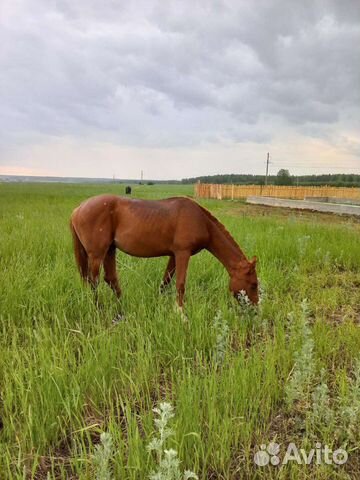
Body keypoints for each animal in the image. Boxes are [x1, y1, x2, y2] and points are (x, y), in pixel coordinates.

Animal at [69, 194, 258, 308]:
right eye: (254, 284)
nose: (255, 308)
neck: (201, 221)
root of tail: (77, 209)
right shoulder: (182, 253)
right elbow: (180, 284)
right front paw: (181, 314)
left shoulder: (173, 255)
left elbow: (166, 281)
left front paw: (159, 303)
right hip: (97, 254)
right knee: (93, 281)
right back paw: (98, 307)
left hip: (110, 250)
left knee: (110, 278)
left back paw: (122, 305)